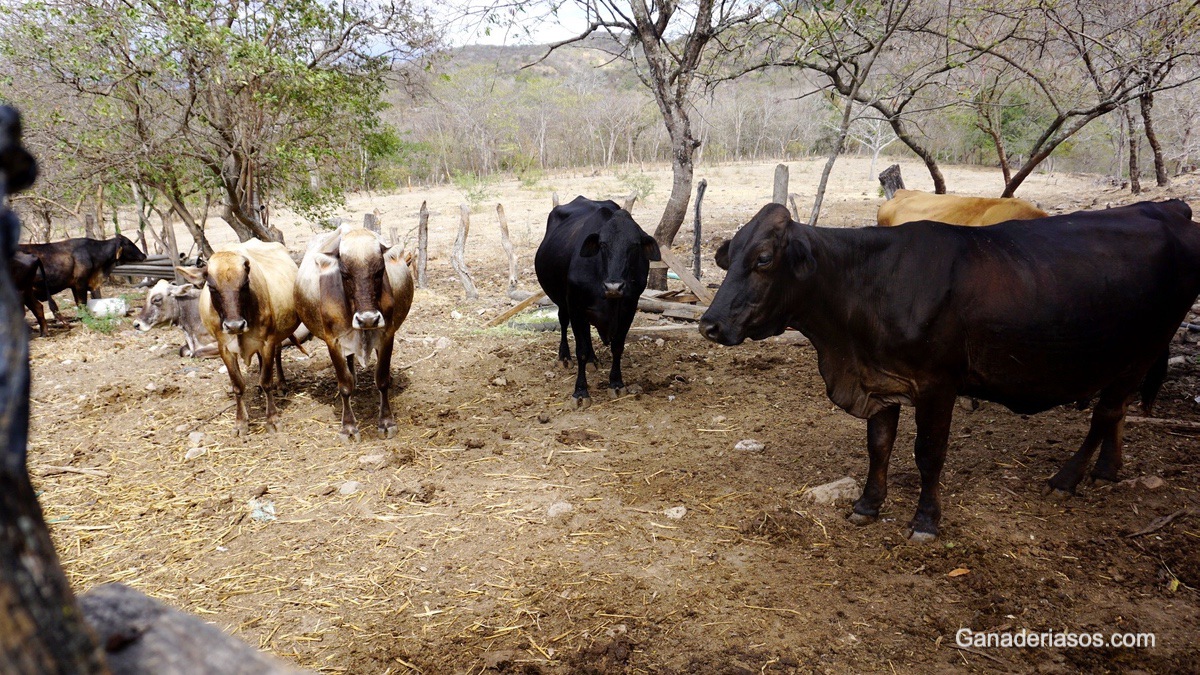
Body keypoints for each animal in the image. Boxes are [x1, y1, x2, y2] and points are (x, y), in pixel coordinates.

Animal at [19, 233, 147, 314]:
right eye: (129, 243)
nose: (144, 255)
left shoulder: (74, 285)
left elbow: (80, 302)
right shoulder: (81, 283)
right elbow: (82, 302)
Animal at [177, 239, 300, 432]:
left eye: (245, 284)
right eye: (211, 287)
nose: (234, 325)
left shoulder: (267, 342)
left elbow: (267, 381)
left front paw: (272, 418)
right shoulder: (224, 348)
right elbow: (238, 385)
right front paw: (241, 422)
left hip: (277, 335)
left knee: (278, 354)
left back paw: (281, 384)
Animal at [296, 223, 417, 439]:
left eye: (379, 272)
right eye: (345, 275)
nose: (368, 319)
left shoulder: (387, 334)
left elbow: (381, 380)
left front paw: (386, 422)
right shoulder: (333, 341)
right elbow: (345, 385)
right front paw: (349, 427)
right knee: (349, 362)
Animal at [700, 200, 1200, 540]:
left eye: (763, 259)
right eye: (730, 255)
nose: (710, 324)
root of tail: (1168, 209)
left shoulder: (937, 385)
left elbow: (928, 454)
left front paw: (925, 520)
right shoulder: (882, 380)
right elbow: (879, 446)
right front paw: (867, 504)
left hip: (1138, 352)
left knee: (1105, 414)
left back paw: (1067, 479)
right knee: (1118, 413)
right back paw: (1108, 469)